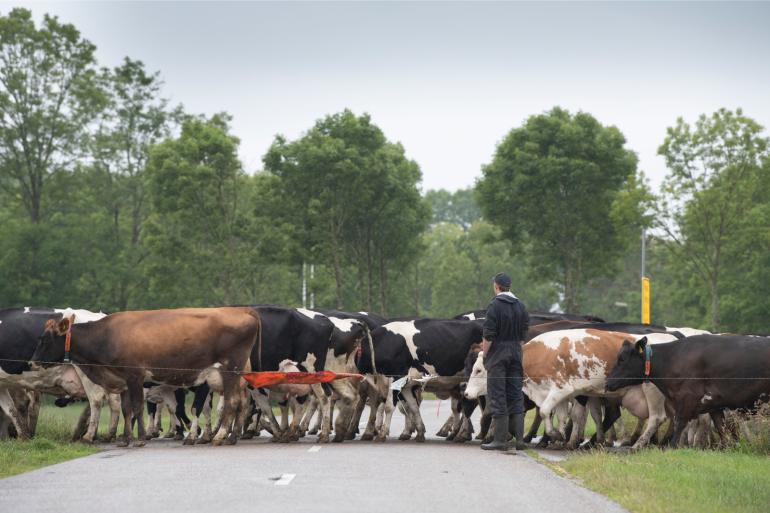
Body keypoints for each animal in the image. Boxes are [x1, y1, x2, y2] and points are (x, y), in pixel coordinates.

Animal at [31, 306, 260, 446]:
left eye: (44, 340)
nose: (31, 362)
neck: (107, 337)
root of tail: (241, 310)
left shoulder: (135, 376)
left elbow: (137, 407)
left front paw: (140, 438)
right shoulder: (123, 380)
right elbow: (126, 409)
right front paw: (125, 438)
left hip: (230, 371)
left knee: (232, 402)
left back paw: (220, 436)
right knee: (240, 403)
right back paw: (231, 437)